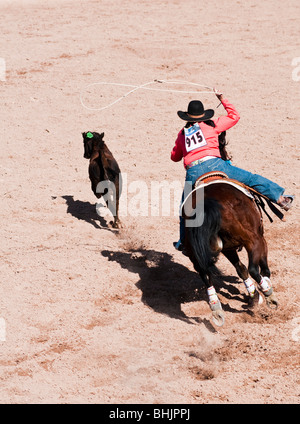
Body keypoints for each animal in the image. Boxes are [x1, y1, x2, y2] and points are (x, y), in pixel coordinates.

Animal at [183, 174, 278, 326]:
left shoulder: (228, 249)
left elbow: (240, 269)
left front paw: (254, 297)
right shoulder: (261, 238)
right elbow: (263, 268)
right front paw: (263, 289)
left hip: (196, 253)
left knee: (205, 274)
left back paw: (216, 309)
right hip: (253, 240)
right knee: (253, 268)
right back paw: (270, 296)